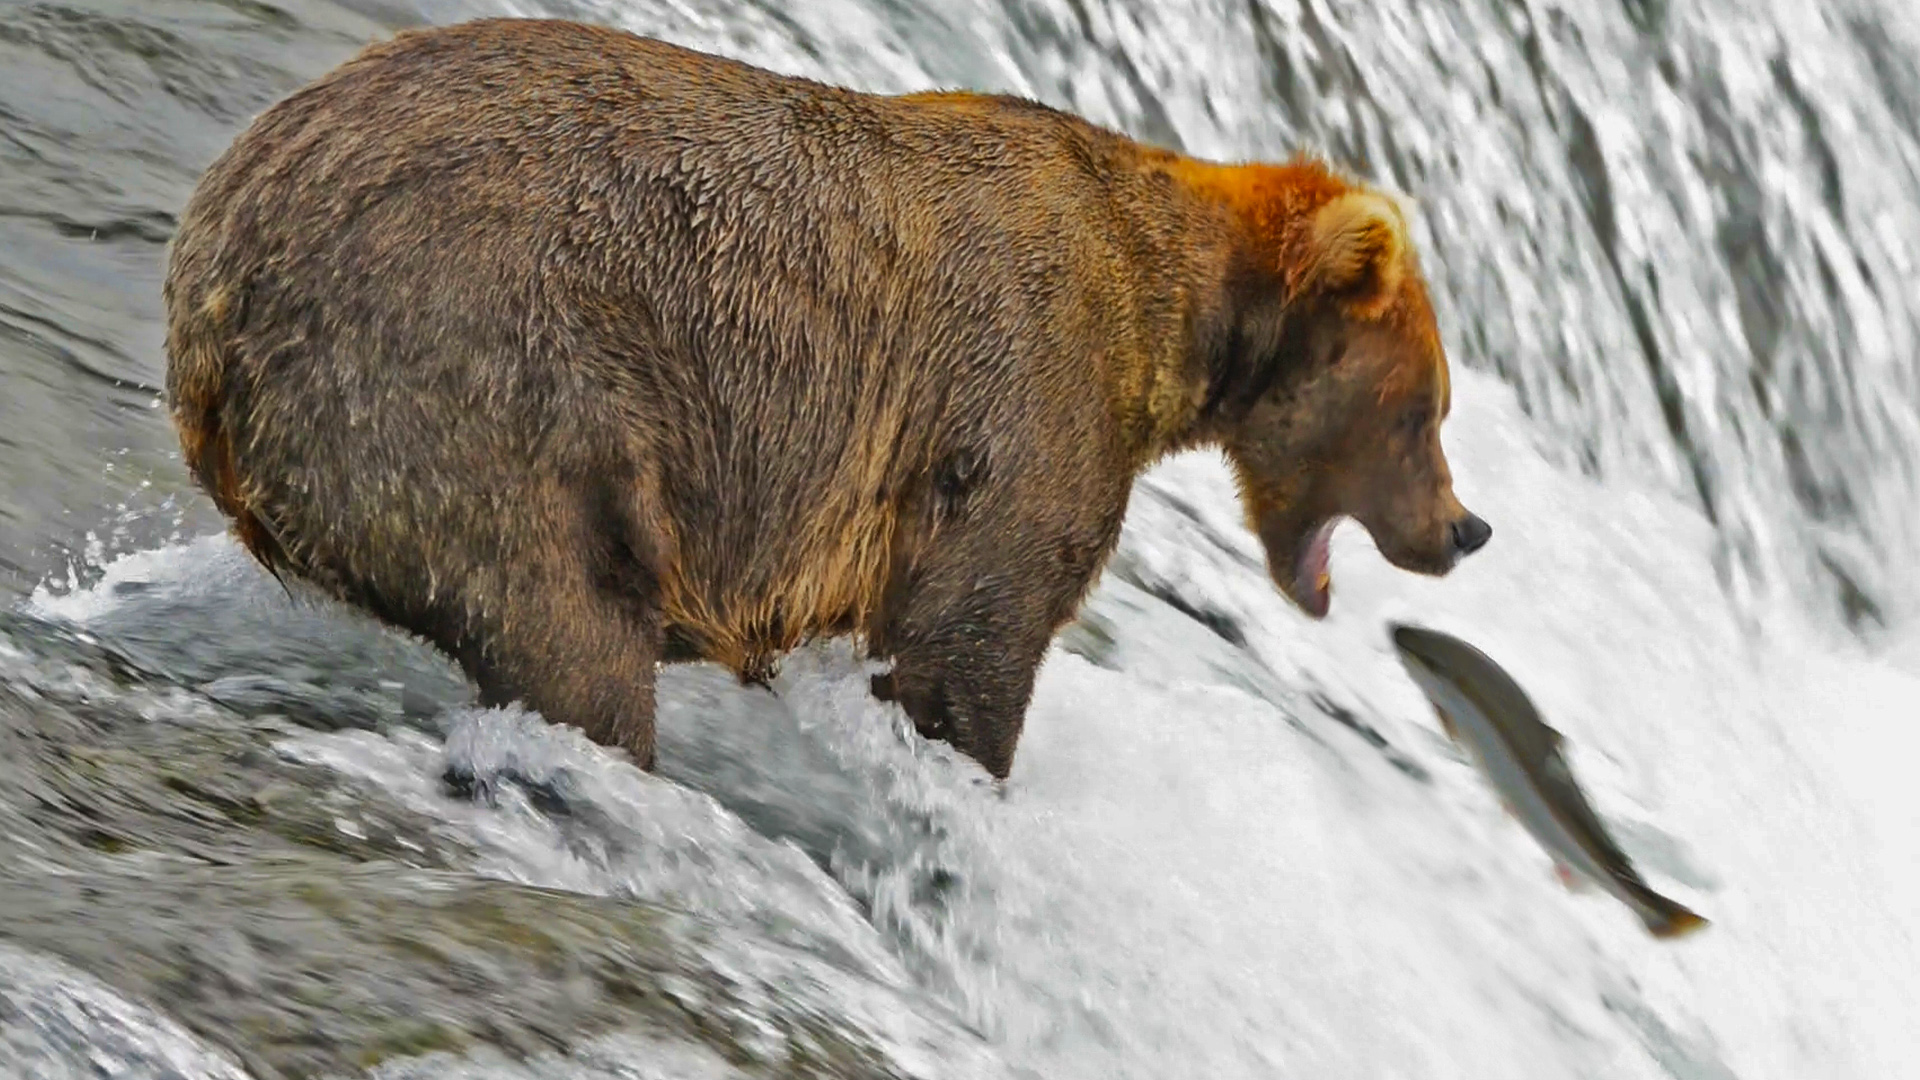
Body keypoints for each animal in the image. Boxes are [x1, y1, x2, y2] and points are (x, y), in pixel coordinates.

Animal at [161, 16, 1482, 772]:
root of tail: (219, 264)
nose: (1465, 527)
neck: (1174, 313)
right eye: (1426, 408)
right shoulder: (1023, 395)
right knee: (569, 631)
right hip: (486, 374)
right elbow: (973, 636)